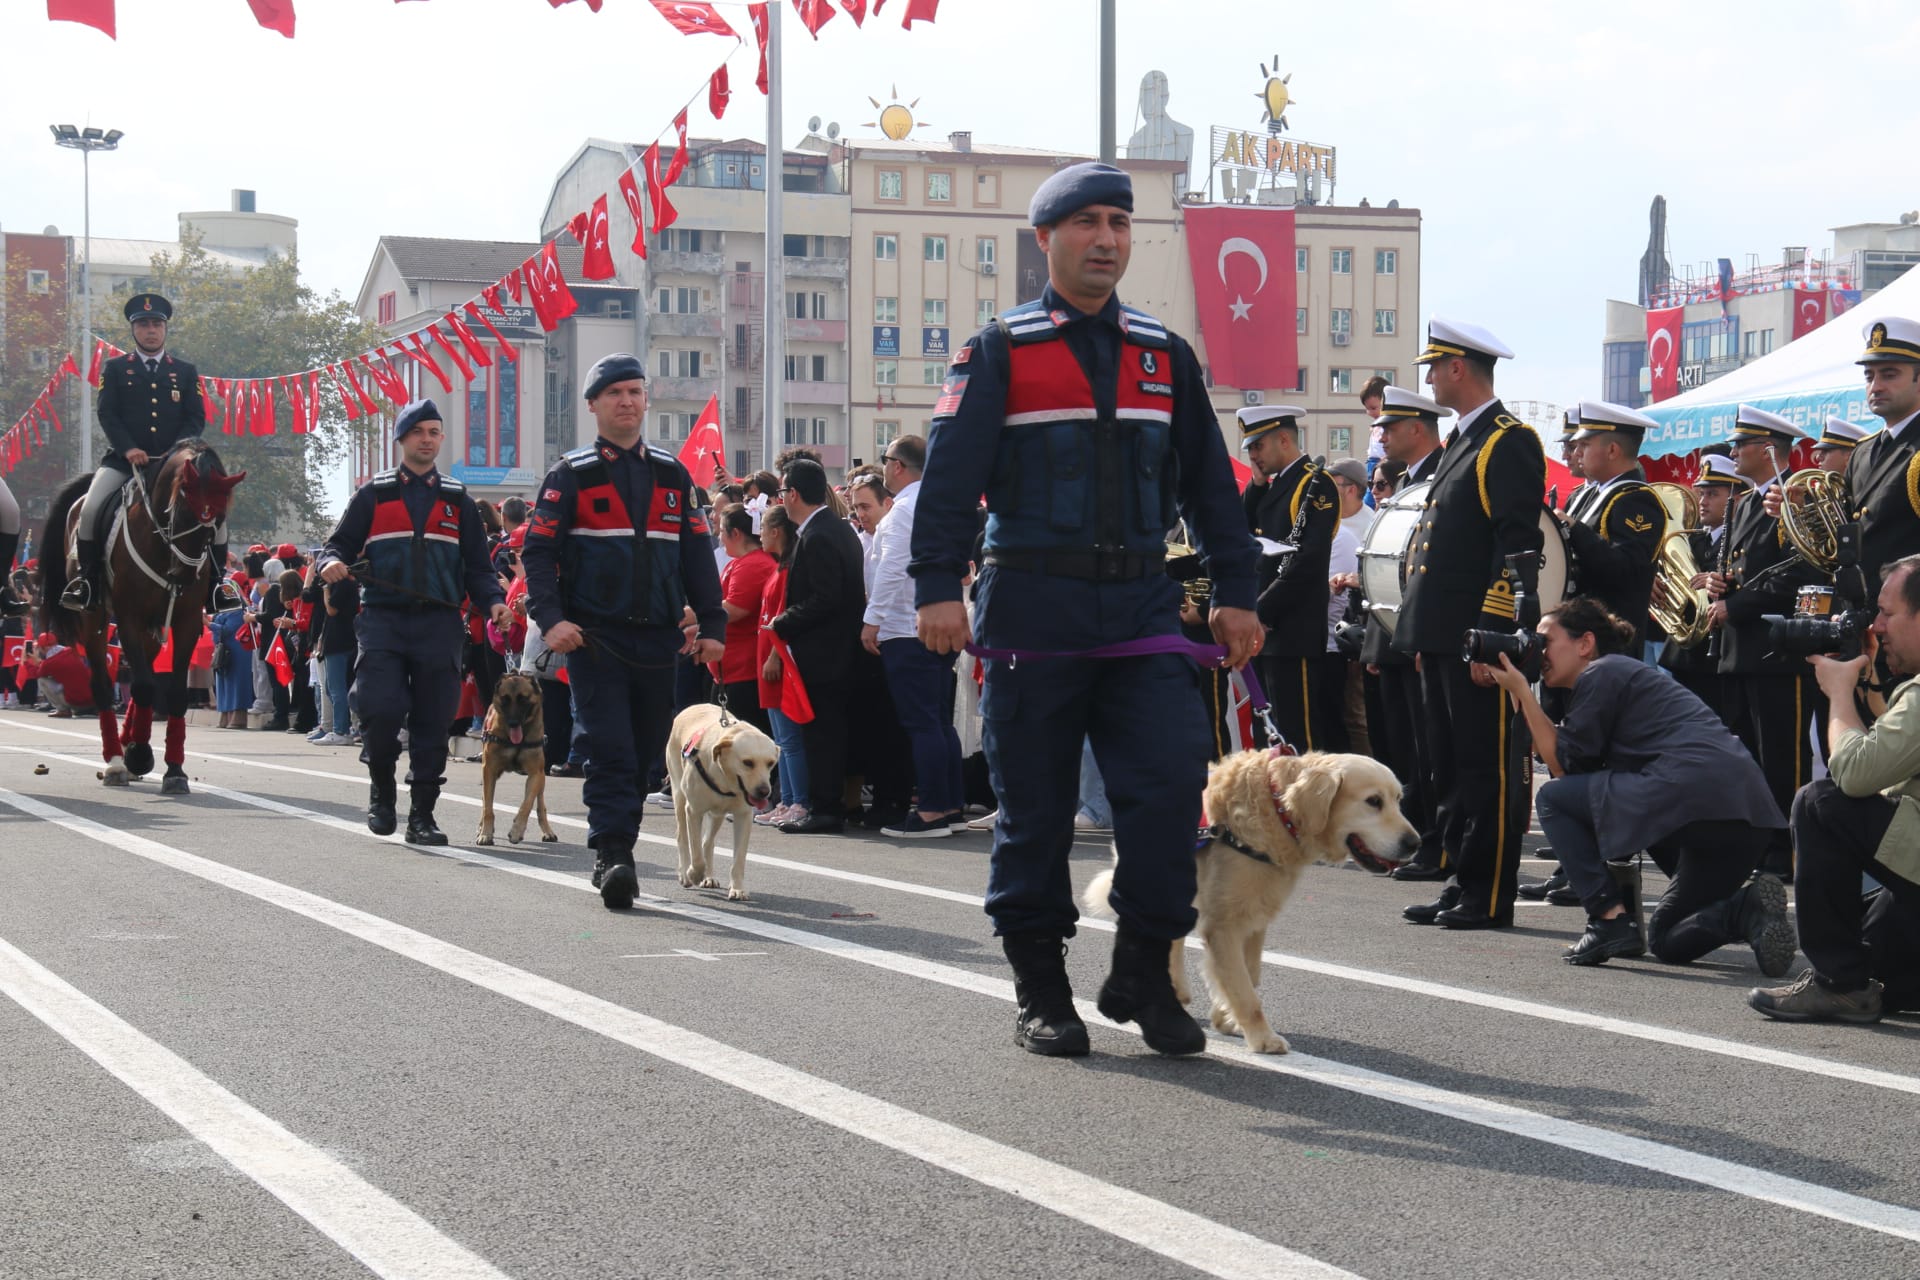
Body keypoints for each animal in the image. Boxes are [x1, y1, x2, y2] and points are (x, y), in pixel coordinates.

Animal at [38, 445, 243, 794]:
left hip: (151, 631)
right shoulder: (129, 618)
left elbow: (172, 691)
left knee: (136, 679)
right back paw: (116, 760)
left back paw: (127, 746)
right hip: (95, 620)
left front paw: (173, 768)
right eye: (182, 512)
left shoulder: (186, 622)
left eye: (218, 520)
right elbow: (146, 686)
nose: (183, 576)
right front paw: (139, 755)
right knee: (104, 685)